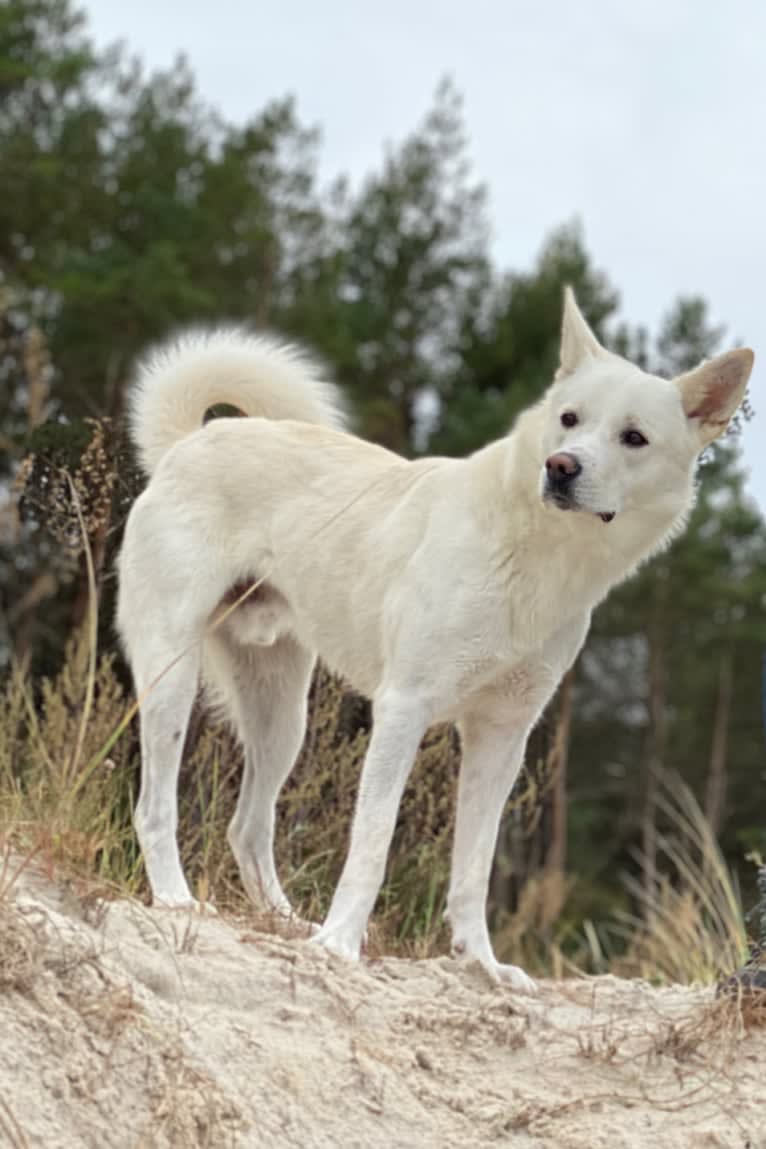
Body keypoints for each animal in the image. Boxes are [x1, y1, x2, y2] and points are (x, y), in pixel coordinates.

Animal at [117, 287, 753, 988]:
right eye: (569, 419)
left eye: (634, 438)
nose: (561, 467)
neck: (541, 554)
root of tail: (189, 443)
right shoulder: (404, 709)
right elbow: (373, 842)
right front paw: (341, 945)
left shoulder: (502, 736)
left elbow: (474, 866)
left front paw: (481, 962)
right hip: (172, 681)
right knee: (156, 807)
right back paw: (178, 900)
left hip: (282, 717)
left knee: (248, 828)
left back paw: (287, 923)